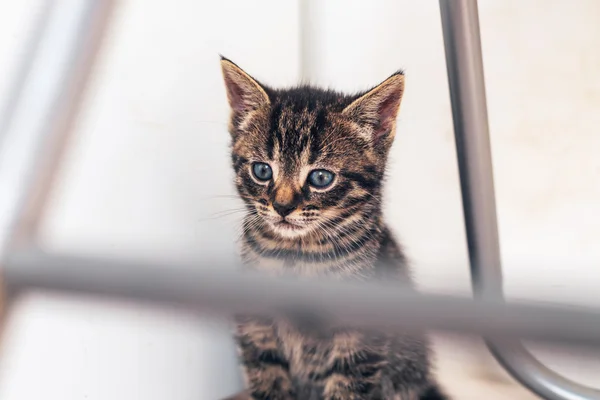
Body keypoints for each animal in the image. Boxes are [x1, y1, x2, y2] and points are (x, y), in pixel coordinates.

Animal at [219, 57, 446, 400]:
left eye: (321, 178)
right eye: (262, 171)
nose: (282, 207)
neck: (296, 255)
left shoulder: (362, 336)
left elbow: (346, 387)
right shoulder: (256, 323)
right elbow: (268, 376)